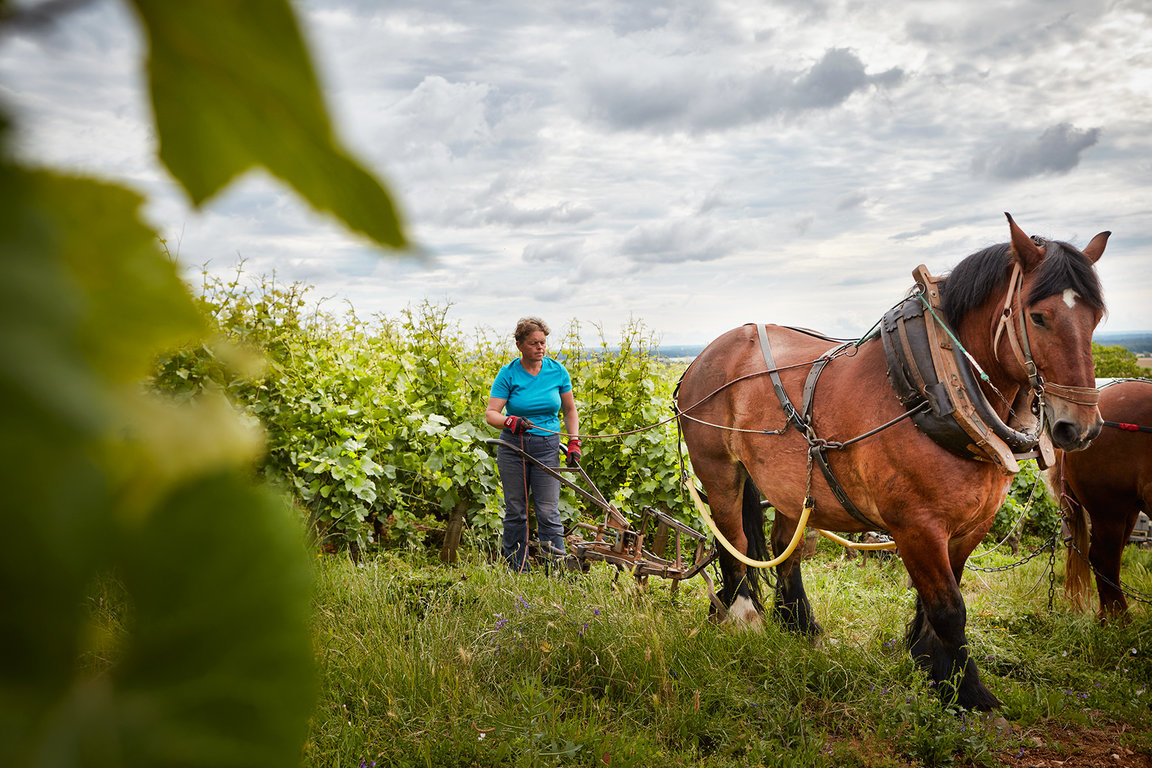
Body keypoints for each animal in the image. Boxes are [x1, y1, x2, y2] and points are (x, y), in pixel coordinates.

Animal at [672, 213, 1105, 713]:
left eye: (1096, 317)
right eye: (1038, 316)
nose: (1081, 428)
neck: (939, 382)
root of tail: (704, 356)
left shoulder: (970, 524)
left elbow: (941, 598)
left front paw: (931, 665)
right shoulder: (916, 525)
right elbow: (949, 608)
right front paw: (969, 692)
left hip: (790, 485)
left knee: (787, 548)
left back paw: (799, 625)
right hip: (720, 470)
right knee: (732, 540)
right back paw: (742, 616)